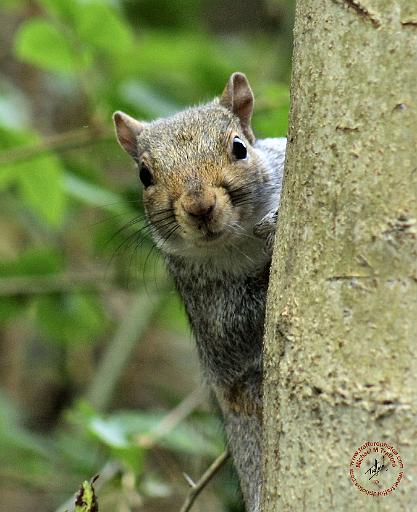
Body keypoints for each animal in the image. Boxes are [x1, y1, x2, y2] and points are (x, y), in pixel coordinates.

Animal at [112, 73, 286, 512]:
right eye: (145, 176)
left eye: (239, 147)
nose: (199, 206)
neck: (240, 238)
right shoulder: (204, 300)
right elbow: (235, 327)